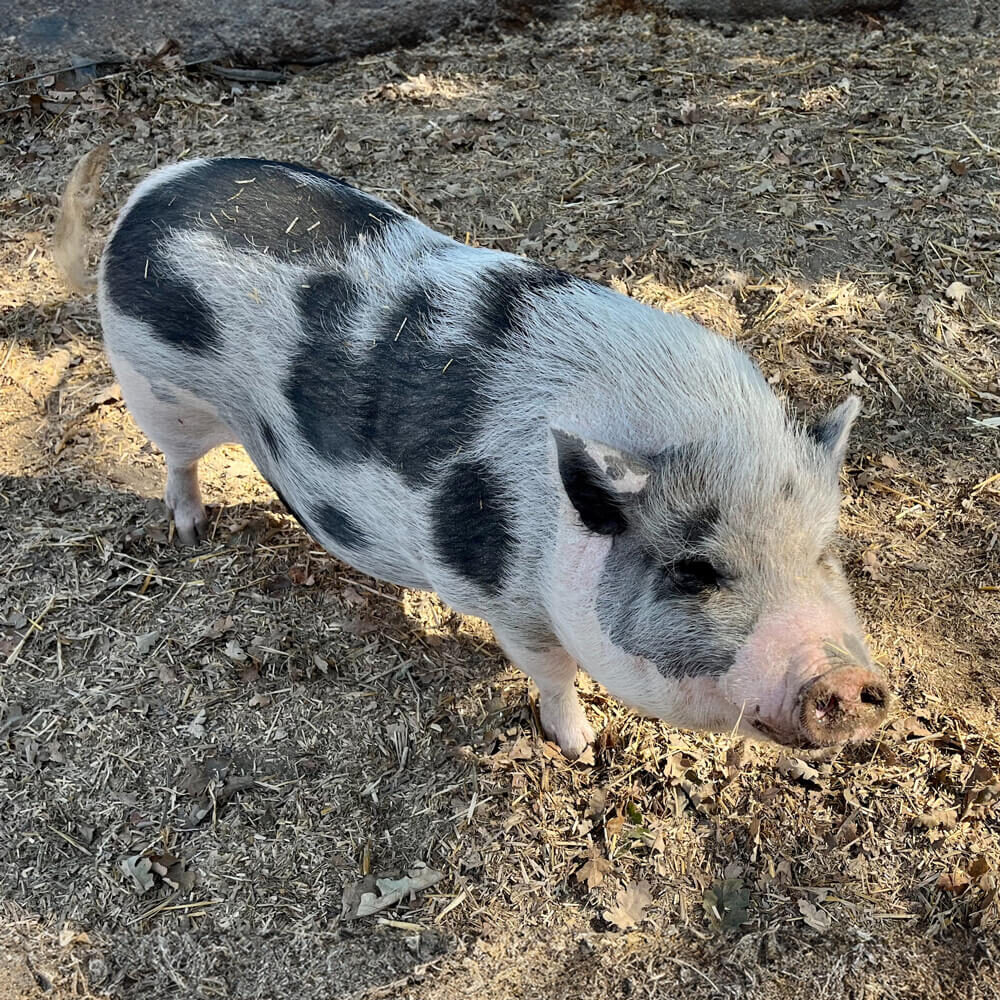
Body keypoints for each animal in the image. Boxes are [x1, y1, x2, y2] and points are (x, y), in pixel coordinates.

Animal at [54, 148, 888, 752]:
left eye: (822, 553)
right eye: (693, 571)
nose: (845, 682)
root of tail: (151, 190)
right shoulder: (510, 602)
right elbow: (553, 676)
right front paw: (582, 747)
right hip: (156, 388)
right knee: (177, 462)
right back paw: (193, 535)